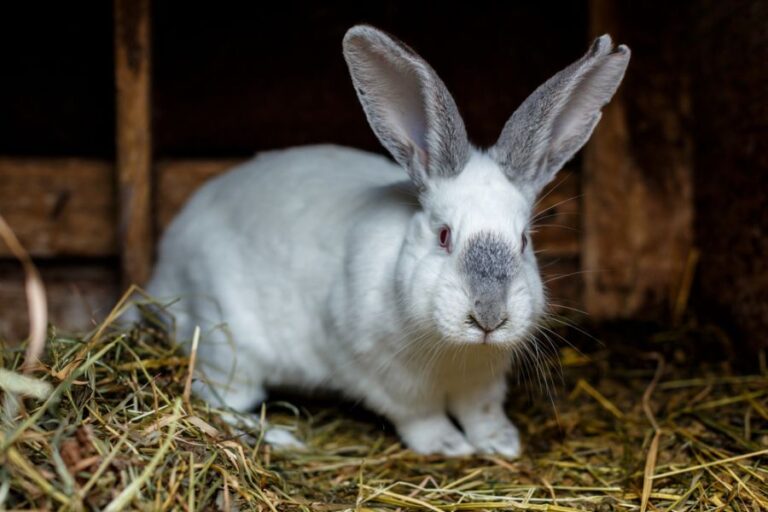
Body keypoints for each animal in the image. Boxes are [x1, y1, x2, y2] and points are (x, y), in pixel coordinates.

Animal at [145, 25, 630, 457]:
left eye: (525, 241)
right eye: (444, 236)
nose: (489, 317)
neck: (455, 352)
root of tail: (162, 269)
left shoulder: (484, 380)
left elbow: (482, 413)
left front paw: (501, 444)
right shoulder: (382, 375)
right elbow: (420, 417)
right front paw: (449, 446)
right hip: (226, 343)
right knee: (214, 397)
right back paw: (280, 437)